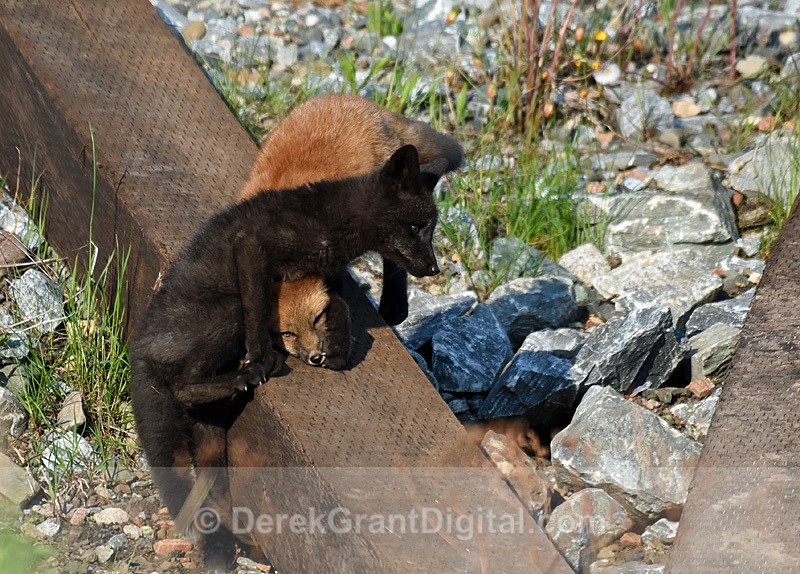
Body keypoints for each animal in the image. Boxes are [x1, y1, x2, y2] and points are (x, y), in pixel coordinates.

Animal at [129, 145, 445, 571]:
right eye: (415, 227)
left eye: (432, 228)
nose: (435, 268)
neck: (331, 223)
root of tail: (139, 348)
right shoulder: (252, 247)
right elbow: (260, 311)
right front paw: (263, 354)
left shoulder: (326, 277)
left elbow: (341, 308)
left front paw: (338, 348)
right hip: (227, 312)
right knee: (181, 386)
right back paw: (241, 378)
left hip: (210, 437)